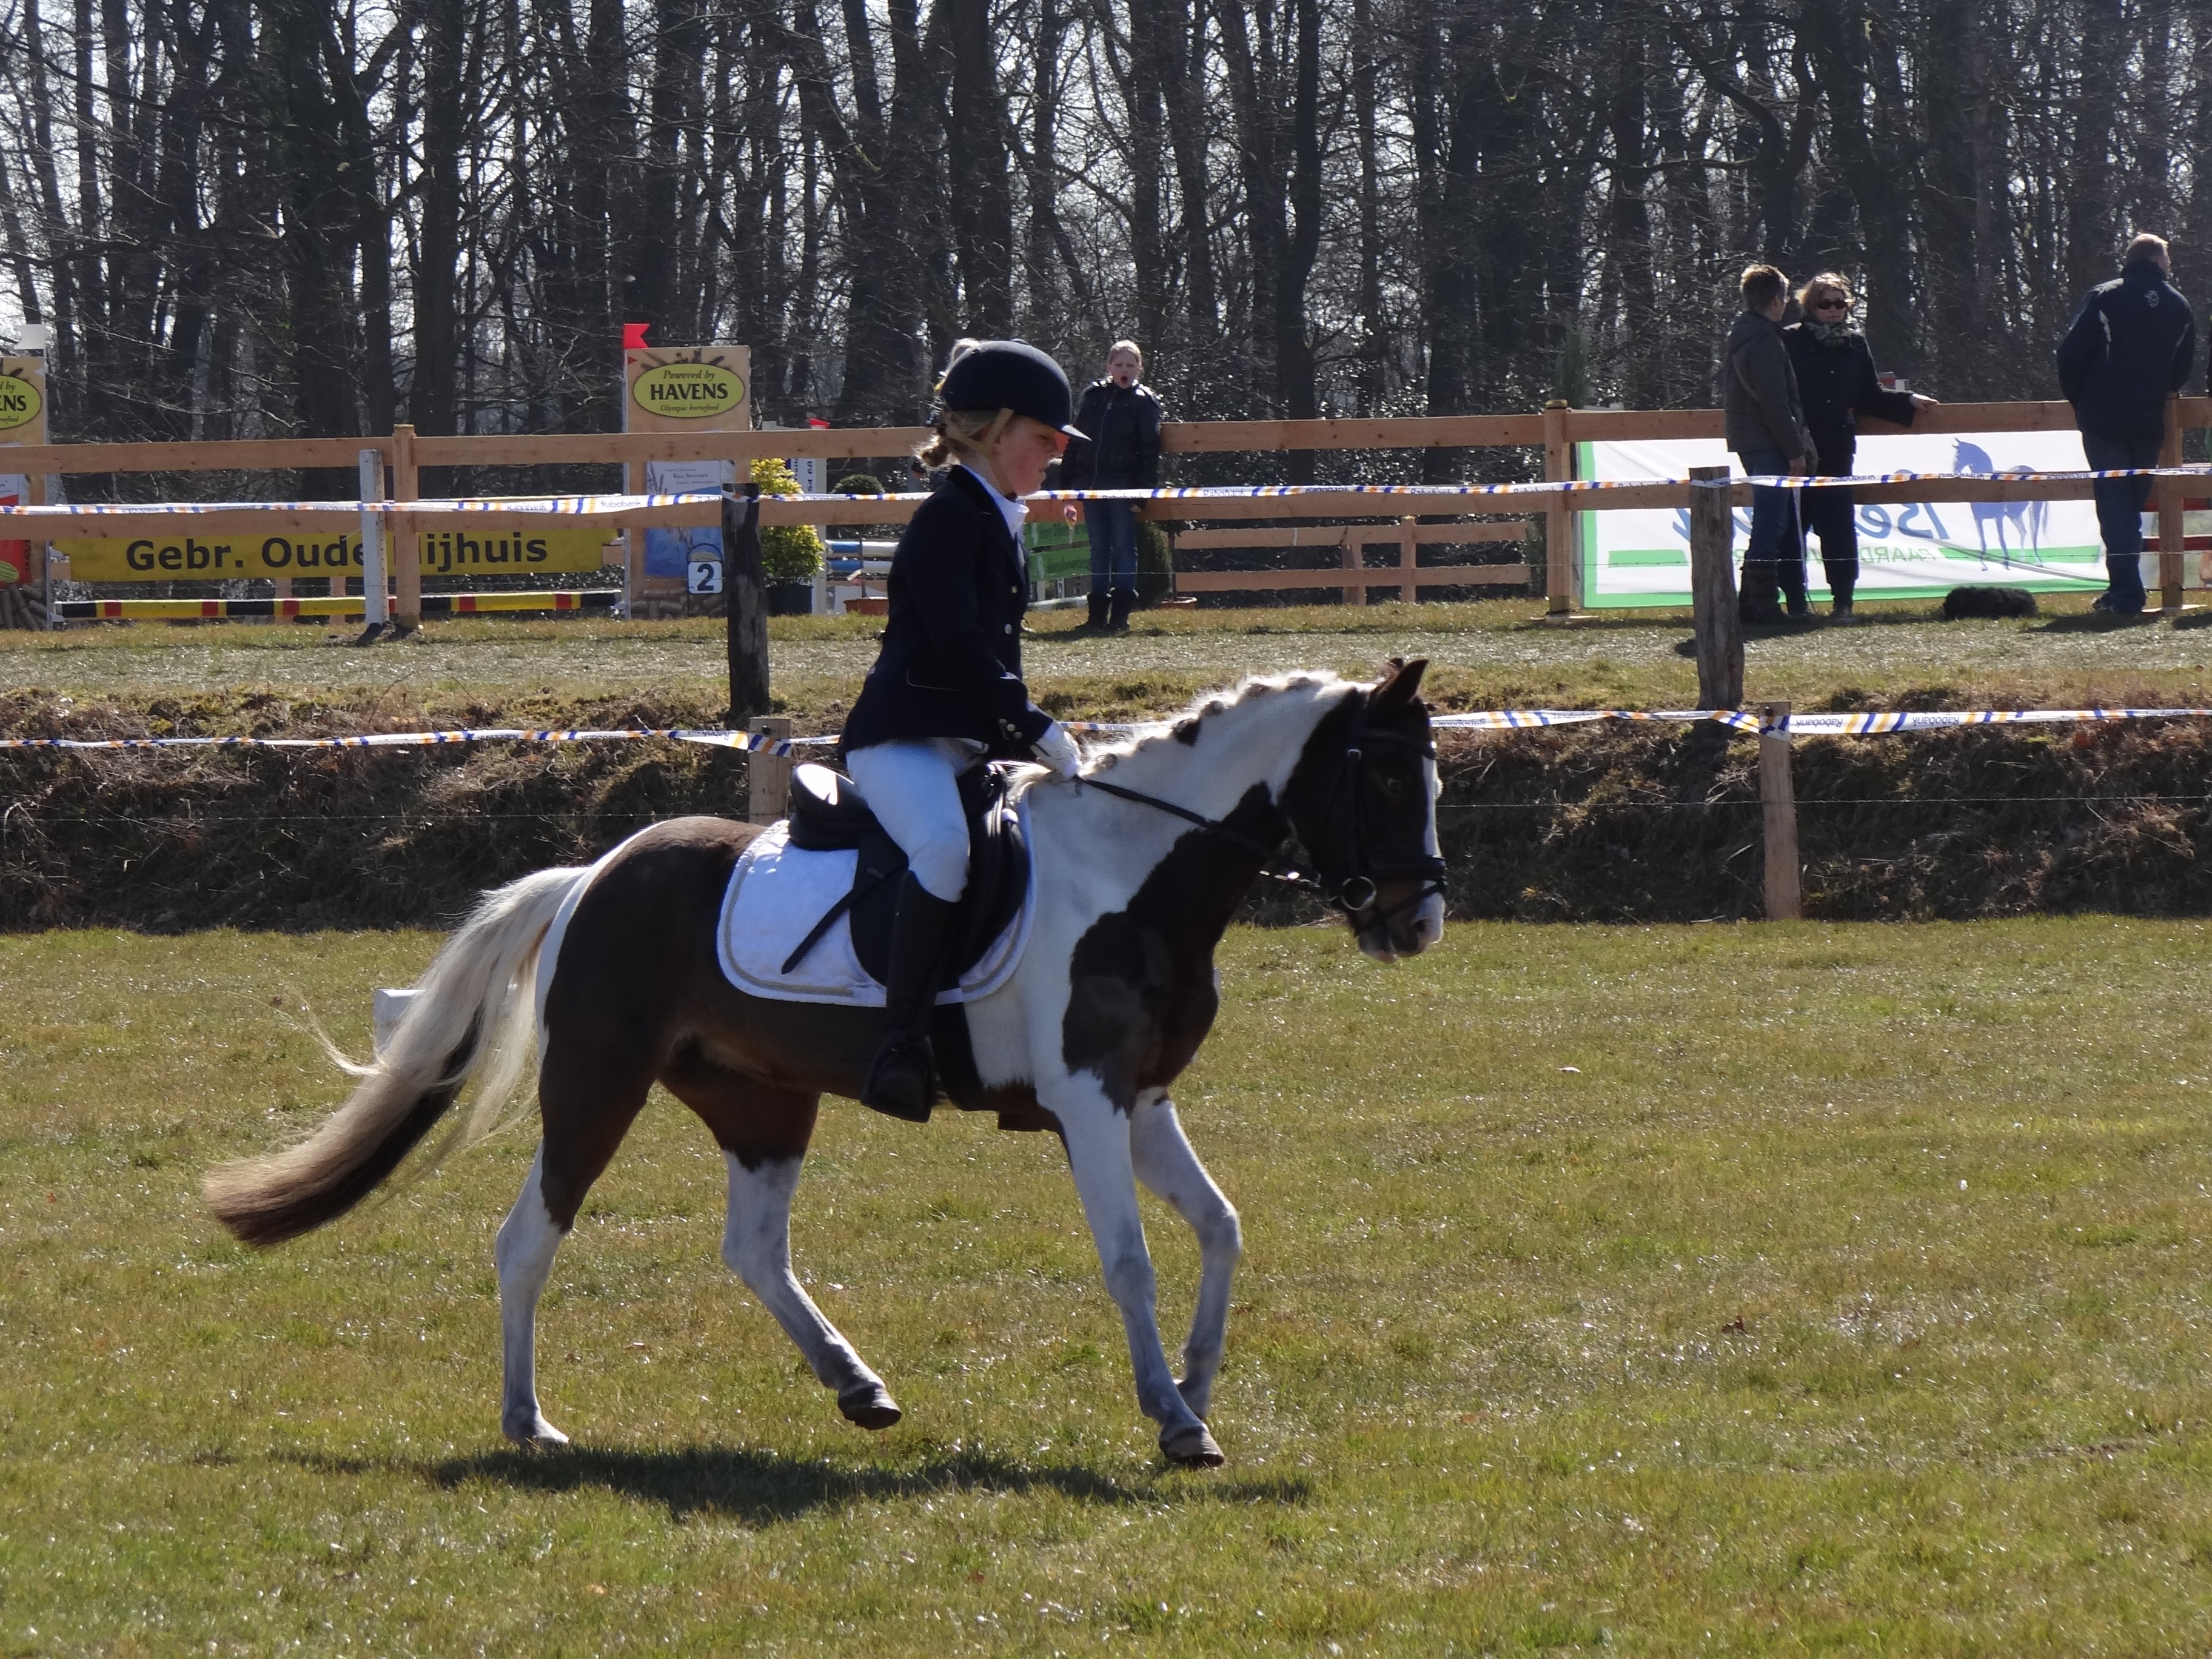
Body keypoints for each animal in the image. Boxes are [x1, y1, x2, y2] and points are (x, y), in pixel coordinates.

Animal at [207, 663, 1451, 1469]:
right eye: (1388, 781)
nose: (1419, 923)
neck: (1132, 874)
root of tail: (593, 873)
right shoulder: (1088, 1103)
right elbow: (1131, 1257)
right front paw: (1177, 1418)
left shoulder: (1140, 1099)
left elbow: (1221, 1227)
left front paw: (1191, 1380)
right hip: (596, 1085)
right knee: (527, 1241)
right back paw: (530, 1423)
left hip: (762, 1099)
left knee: (753, 1249)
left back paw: (858, 1386)